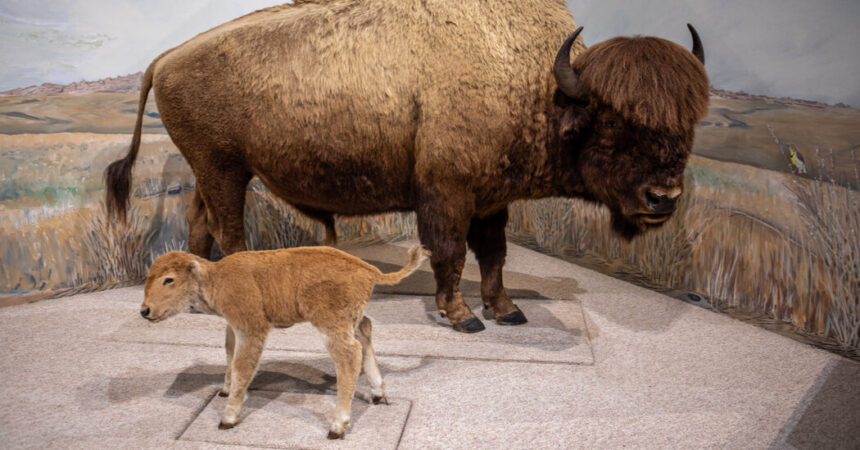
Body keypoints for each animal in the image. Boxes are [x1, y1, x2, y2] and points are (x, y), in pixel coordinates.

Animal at [106, 0, 704, 332]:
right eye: (611, 120)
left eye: (691, 120)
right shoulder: (447, 192)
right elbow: (449, 253)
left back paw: (197, 297)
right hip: (225, 168)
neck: (543, 85)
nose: (664, 198)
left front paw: (506, 309)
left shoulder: (491, 199)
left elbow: (494, 255)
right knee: (230, 231)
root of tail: (165, 57)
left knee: (201, 223)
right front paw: (463, 317)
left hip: (211, 169)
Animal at [137, 244, 426, 438]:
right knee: (365, 330)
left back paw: (337, 426)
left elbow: (242, 366)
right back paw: (377, 393)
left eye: (169, 279)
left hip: (330, 325)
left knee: (349, 356)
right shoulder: (233, 327)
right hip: (350, 321)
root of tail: (367, 268)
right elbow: (229, 354)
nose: (145, 311)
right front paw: (224, 390)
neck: (215, 278)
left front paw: (228, 418)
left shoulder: (252, 329)